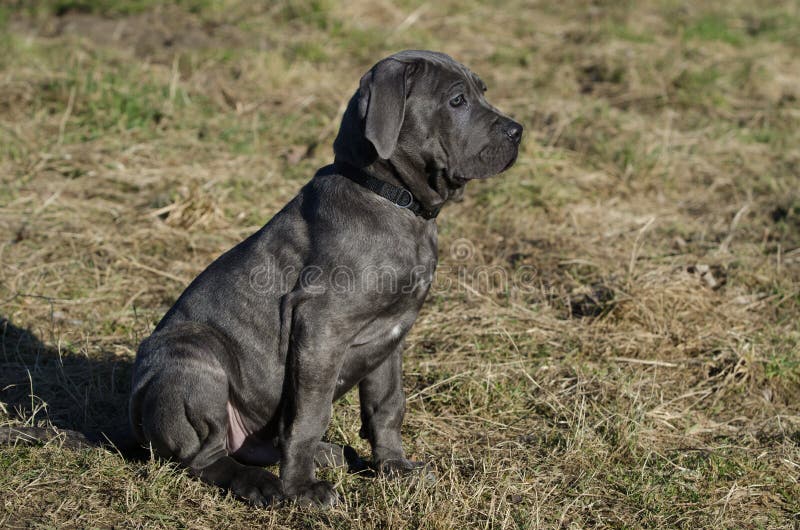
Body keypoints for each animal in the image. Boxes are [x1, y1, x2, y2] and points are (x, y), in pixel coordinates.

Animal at [128, 49, 520, 504]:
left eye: (482, 91)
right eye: (457, 101)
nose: (518, 131)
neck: (393, 199)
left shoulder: (390, 336)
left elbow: (388, 404)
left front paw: (396, 468)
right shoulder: (321, 326)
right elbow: (310, 415)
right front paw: (302, 490)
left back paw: (326, 455)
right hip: (195, 361)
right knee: (206, 457)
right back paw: (264, 484)